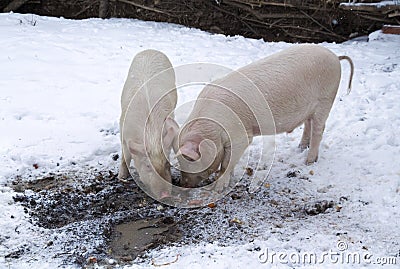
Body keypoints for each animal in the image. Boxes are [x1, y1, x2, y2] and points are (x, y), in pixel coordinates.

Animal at [118, 49, 179, 198]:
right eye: (148, 166)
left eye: (167, 164)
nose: (165, 195)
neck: (151, 136)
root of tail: (151, 50)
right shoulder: (123, 132)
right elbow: (125, 157)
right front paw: (121, 178)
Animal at [175, 44, 354, 189]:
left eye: (191, 161)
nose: (183, 184)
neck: (211, 131)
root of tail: (335, 57)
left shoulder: (241, 136)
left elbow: (226, 164)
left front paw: (217, 188)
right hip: (311, 108)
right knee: (308, 124)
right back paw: (300, 148)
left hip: (326, 99)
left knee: (319, 129)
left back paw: (309, 161)